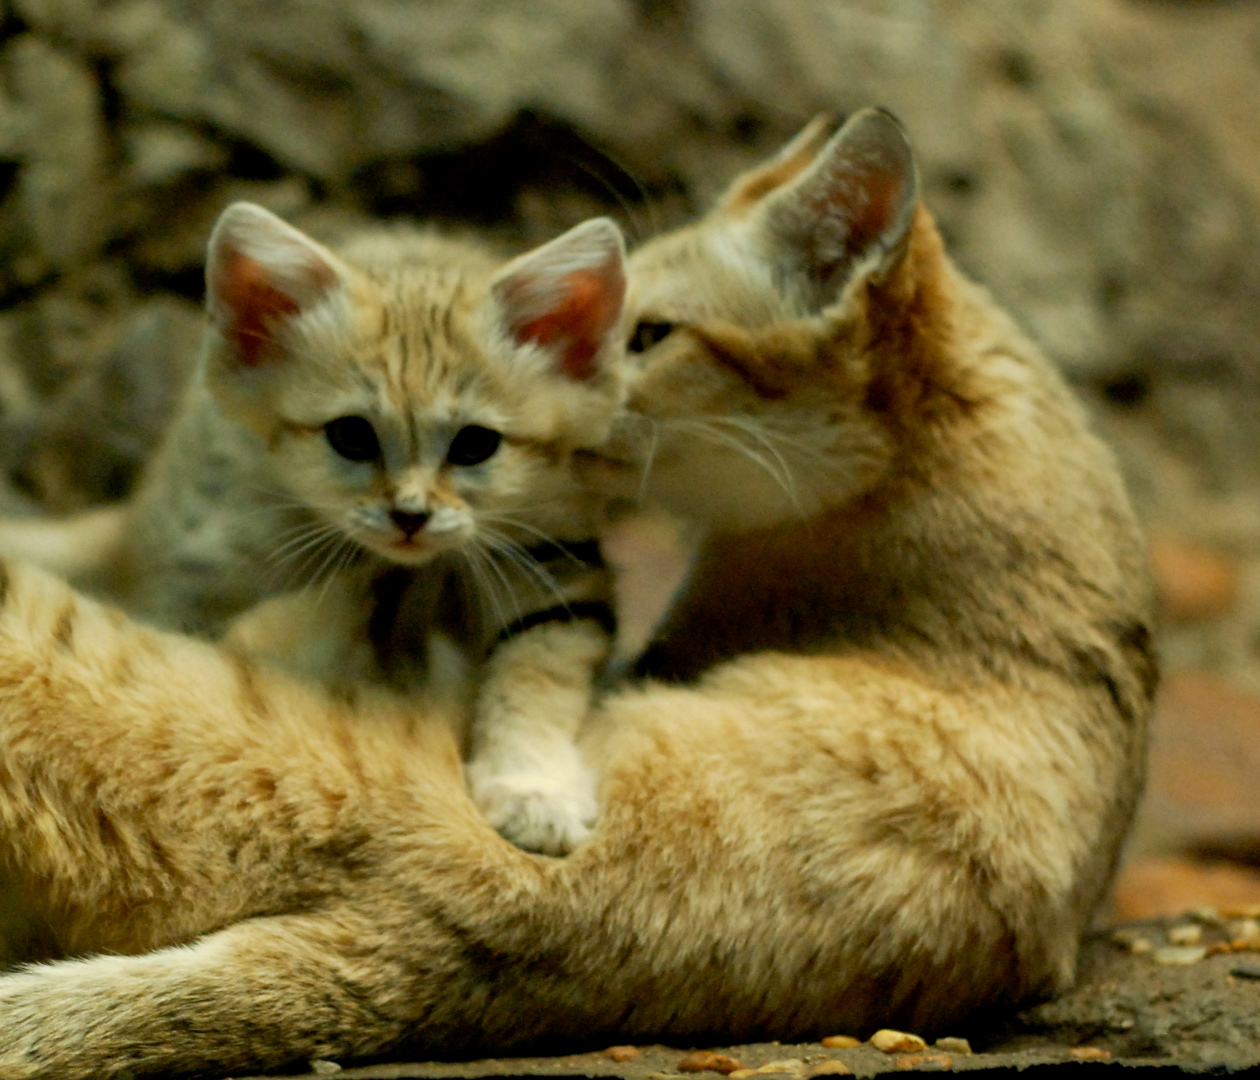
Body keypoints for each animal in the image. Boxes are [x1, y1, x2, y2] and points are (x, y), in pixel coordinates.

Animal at [0, 109, 1154, 1078]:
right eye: (617, 326)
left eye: (647, 334)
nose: (576, 385)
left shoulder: (547, 573)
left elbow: (530, 662)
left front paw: (529, 777)